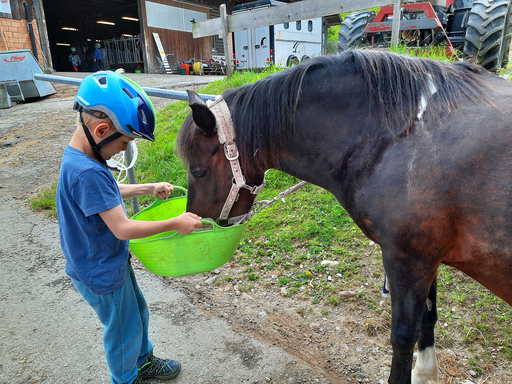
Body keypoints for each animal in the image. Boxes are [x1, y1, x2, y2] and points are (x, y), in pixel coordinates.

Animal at [177, 51, 512, 384]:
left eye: (199, 172)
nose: (198, 223)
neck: (401, 135)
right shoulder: (429, 258)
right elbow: (429, 316)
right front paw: (425, 374)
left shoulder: (409, 258)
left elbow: (404, 336)